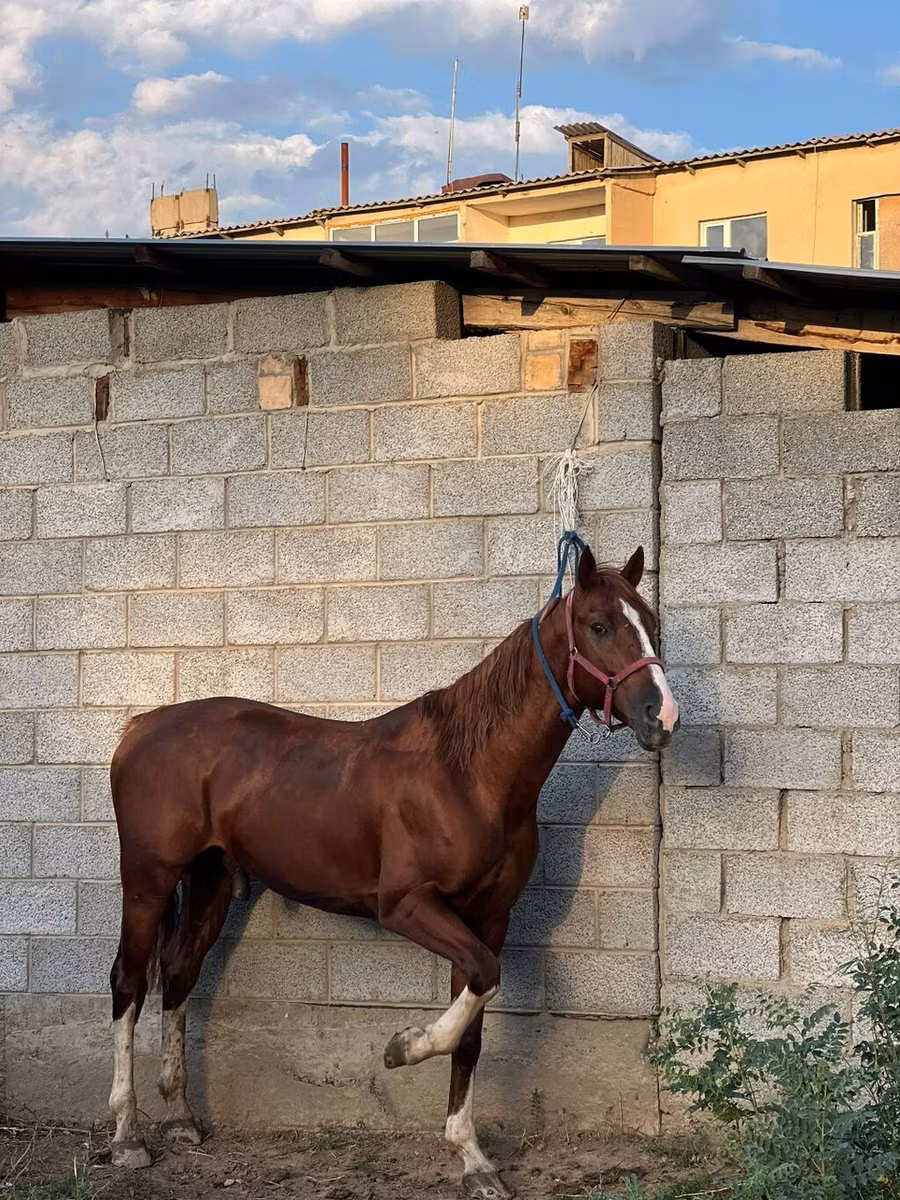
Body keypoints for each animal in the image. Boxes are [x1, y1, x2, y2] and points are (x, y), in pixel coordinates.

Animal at [106, 542, 679, 1199]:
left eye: (649, 621)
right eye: (599, 626)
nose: (663, 715)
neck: (468, 774)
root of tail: (142, 726)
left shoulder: (489, 918)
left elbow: (473, 1021)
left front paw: (472, 1158)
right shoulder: (406, 906)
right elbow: (479, 986)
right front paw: (401, 1049)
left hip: (210, 880)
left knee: (178, 973)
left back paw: (179, 1118)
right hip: (147, 882)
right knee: (128, 984)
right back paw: (126, 1136)